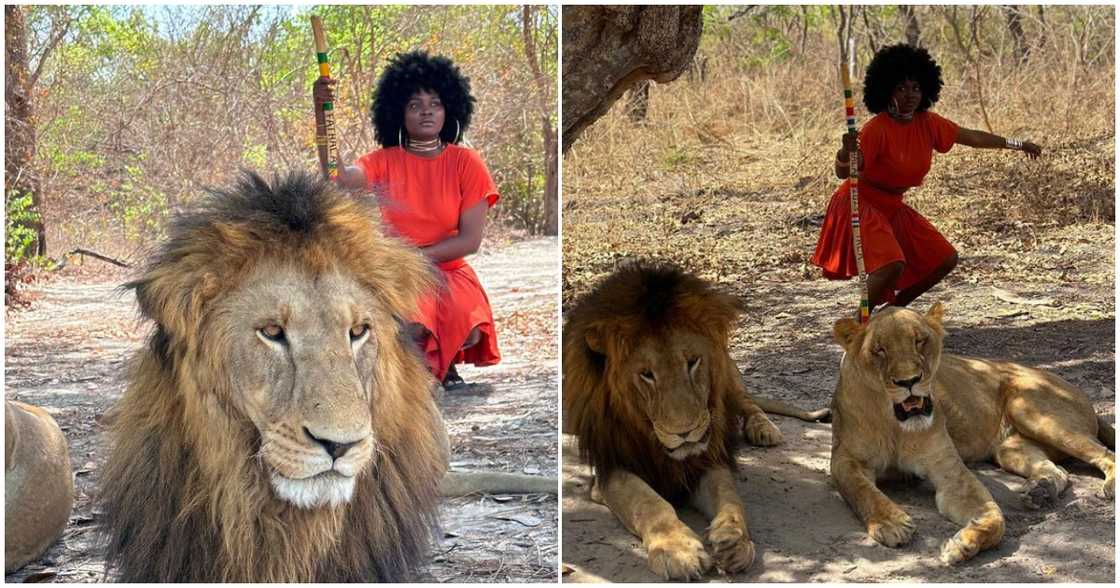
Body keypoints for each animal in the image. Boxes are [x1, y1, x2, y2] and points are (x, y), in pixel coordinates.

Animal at [564, 260, 828, 577]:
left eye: (693, 362)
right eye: (646, 374)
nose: (685, 432)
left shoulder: (708, 458)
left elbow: (729, 495)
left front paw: (734, 539)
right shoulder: (610, 466)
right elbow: (649, 502)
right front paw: (677, 550)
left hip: (730, 376)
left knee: (750, 404)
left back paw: (764, 429)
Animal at [833, 302, 1111, 564]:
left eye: (920, 341)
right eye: (879, 350)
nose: (909, 381)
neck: (895, 425)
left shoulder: (949, 470)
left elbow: (995, 517)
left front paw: (965, 543)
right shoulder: (845, 460)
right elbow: (862, 491)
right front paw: (891, 523)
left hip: (1032, 410)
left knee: (1105, 454)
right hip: (1009, 448)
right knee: (1058, 469)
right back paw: (1041, 490)